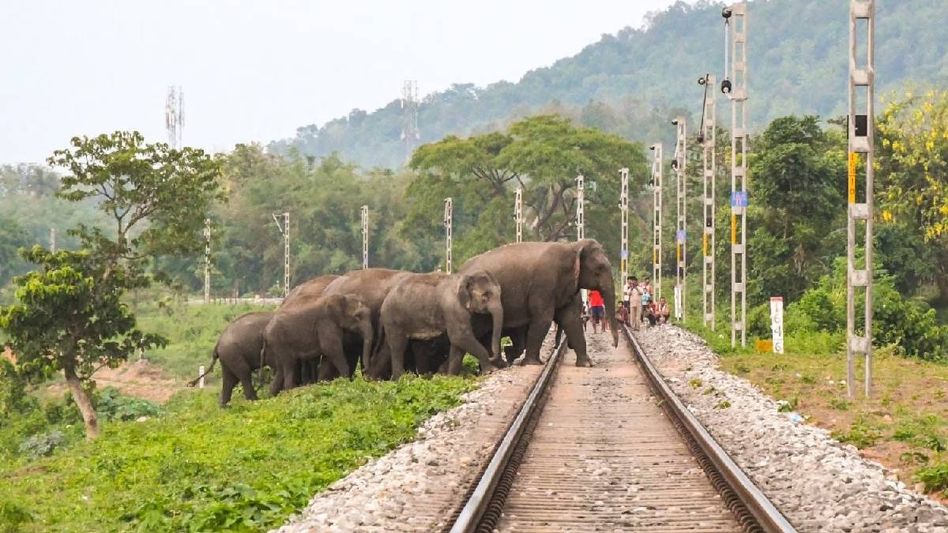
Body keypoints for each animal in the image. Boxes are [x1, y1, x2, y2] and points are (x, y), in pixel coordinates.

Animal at [460, 239, 619, 367]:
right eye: (599, 268)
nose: (613, 345)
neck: (572, 246)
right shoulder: (544, 284)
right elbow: (544, 319)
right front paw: (532, 363)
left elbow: (571, 320)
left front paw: (587, 364)